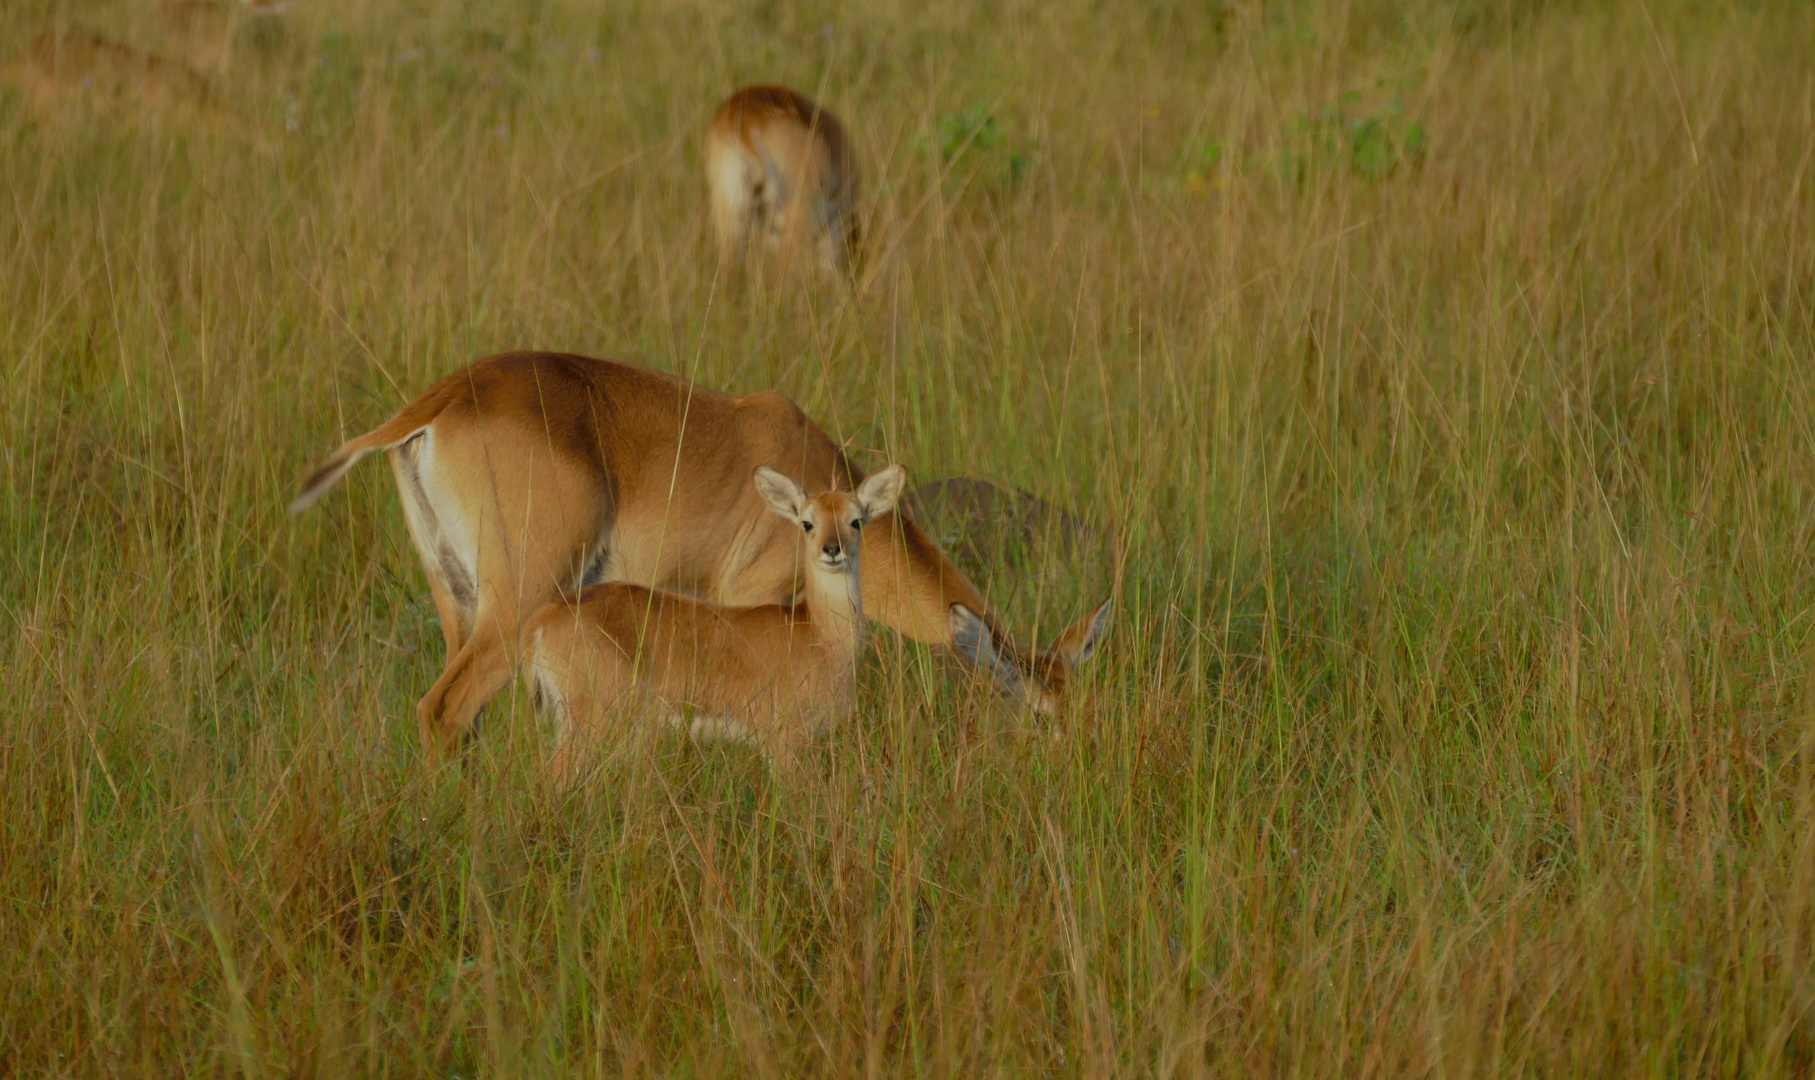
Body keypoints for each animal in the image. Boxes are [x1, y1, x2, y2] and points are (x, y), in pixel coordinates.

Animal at [508, 464, 907, 787]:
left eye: (856, 520)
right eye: (807, 521)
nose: (832, 548)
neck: (819, 635)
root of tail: (541, 621)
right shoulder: (785, 739)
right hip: (591, 721)